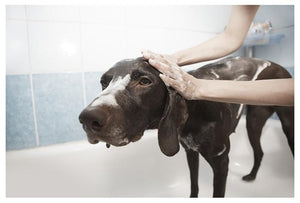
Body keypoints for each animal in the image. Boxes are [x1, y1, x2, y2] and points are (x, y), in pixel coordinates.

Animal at [78, 56, 294, 197]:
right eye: (104, 82)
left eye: (145, 81)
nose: (87, 119)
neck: (196, 112)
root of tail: (280, 66)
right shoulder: (190, 152)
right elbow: (194, 185)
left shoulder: (221, 163)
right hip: (254, 123)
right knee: (259, 152)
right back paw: (252, 175)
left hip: (280, 125)